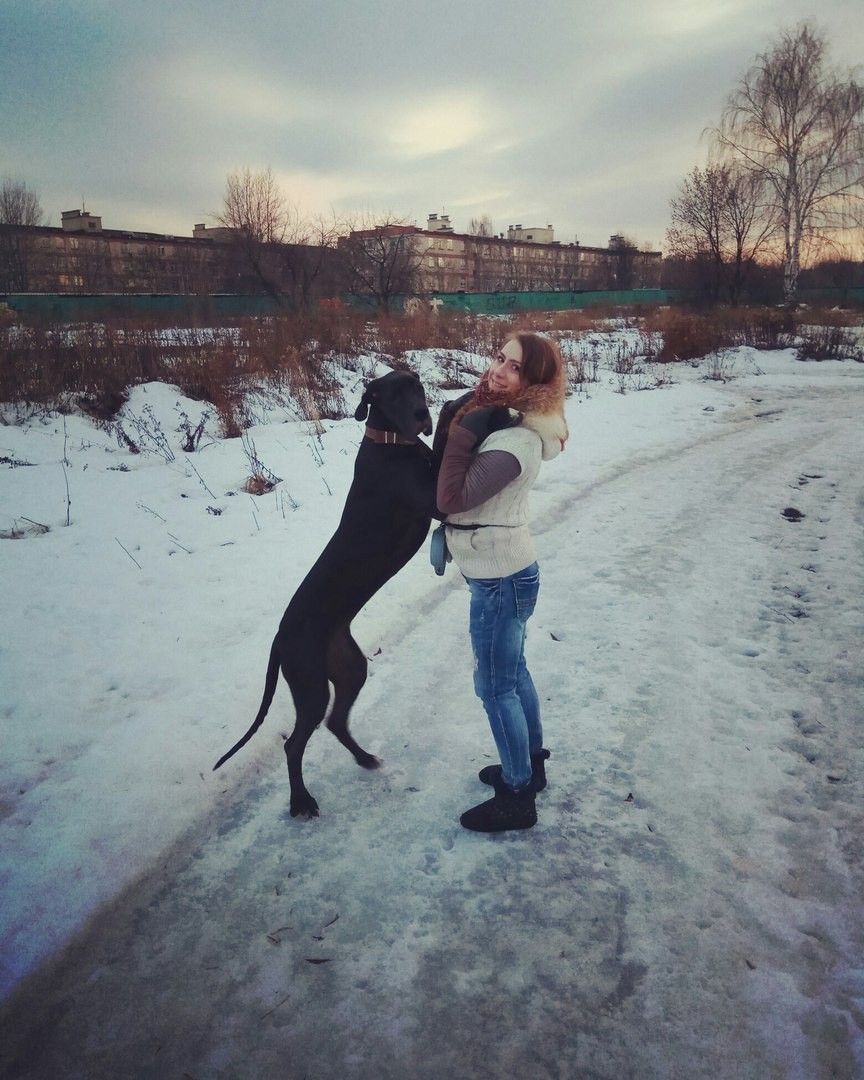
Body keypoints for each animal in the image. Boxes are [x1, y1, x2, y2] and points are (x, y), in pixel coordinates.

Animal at [213, 369, 437, 818]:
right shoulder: (433, 496)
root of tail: (279, 639)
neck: (391, 442)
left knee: (335, 721)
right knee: (294, 744)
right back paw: (301, 800)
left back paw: (365, 758)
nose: (423, 414)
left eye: (418, 385)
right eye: (394, 394)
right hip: (310, 685)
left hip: (350, 667)